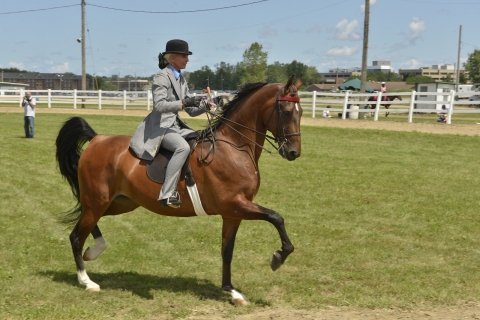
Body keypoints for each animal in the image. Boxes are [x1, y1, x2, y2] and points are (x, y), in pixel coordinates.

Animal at [55, 74, 304, 304]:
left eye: (301, 112)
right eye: (286, 111)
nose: (294, 152)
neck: (235, 146)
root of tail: (97, 139)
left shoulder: (233, 213)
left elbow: (227, 250)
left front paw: (232, 291)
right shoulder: (235, 204)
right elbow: (276, 217)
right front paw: (277, 258)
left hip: (118, 203)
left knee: (86, 225)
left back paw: (93, 251)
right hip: (97, 200)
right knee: (76, 235)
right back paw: (86, 281)